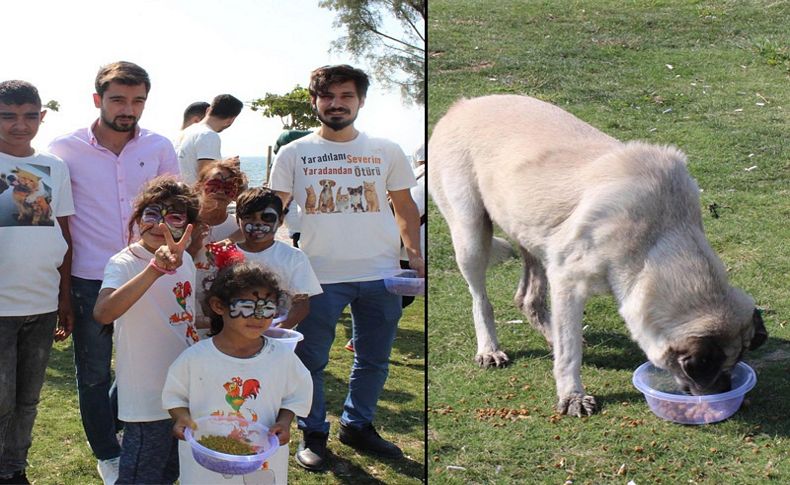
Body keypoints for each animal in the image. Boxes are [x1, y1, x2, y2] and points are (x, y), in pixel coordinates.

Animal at [430, 95, 772, 416]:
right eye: (714, 370)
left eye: (735, 366)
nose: (727, 394)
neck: (658, 236)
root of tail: (461, 107)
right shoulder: (568, 283)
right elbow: (570, 355)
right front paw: (572, 395)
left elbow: (566, 339)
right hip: (472, 236)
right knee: (481, 299)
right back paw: (489, 348)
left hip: (532, 235)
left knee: (528, 299)